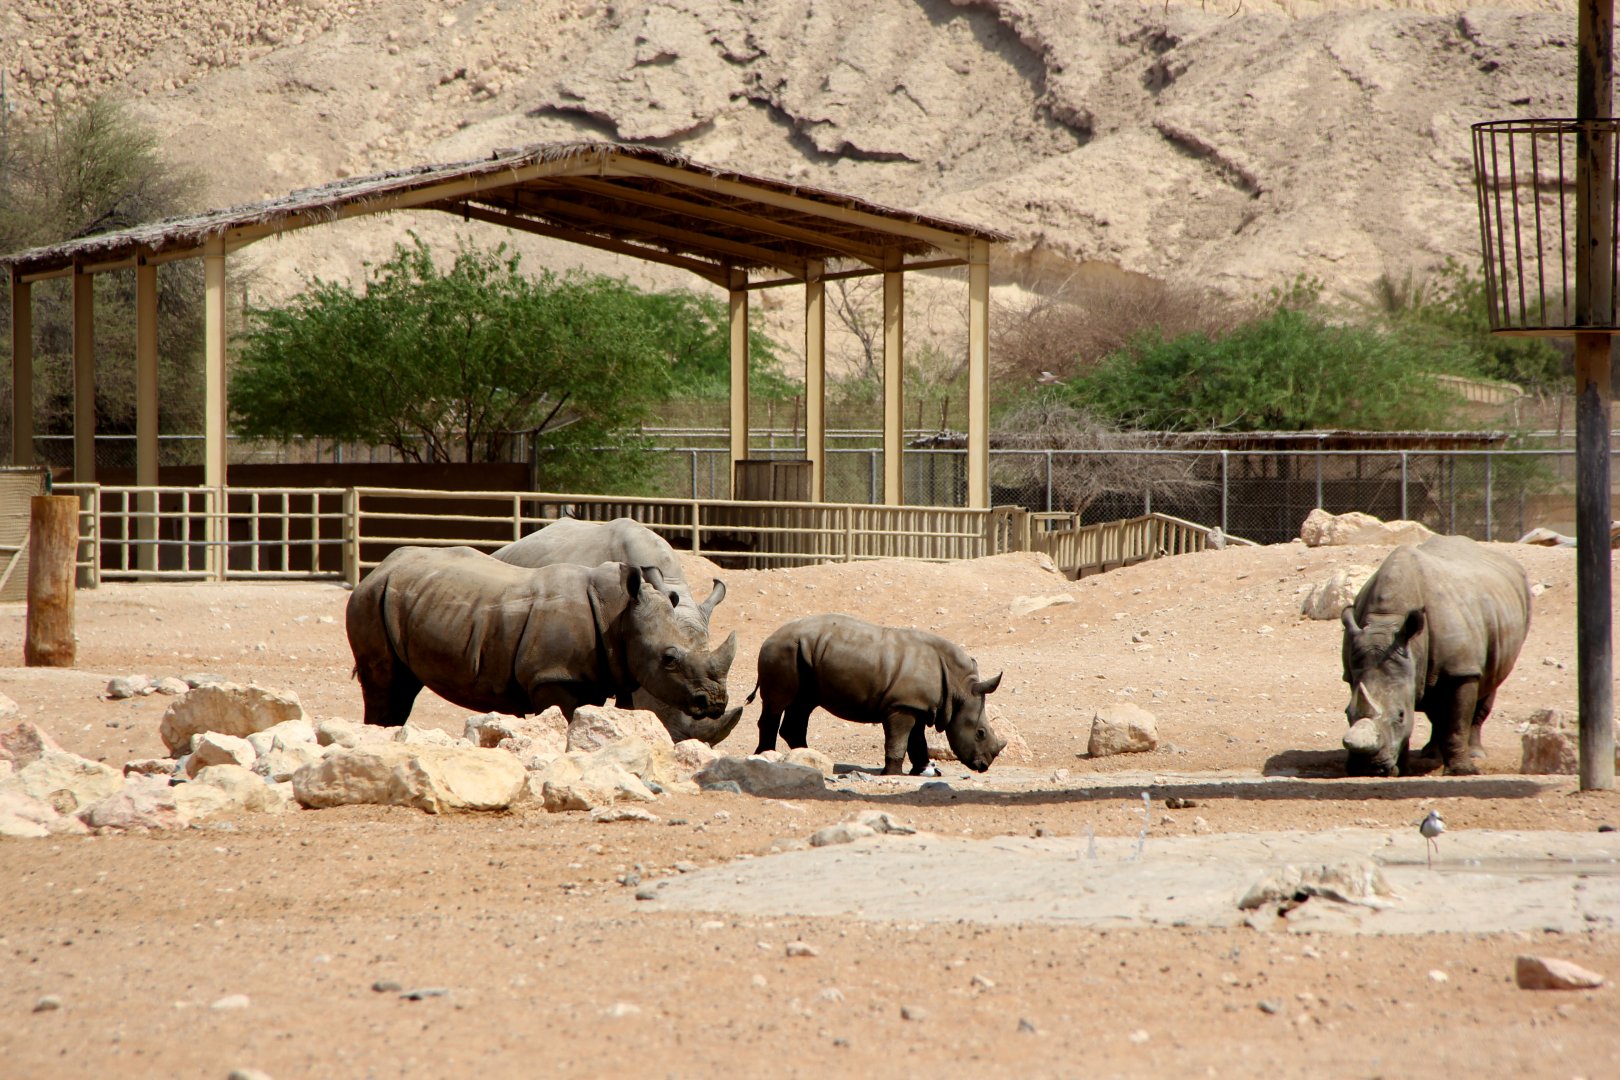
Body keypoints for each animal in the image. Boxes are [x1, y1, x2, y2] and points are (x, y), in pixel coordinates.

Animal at [346, 546, 736, 730]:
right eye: (669, 659)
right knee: (385, 682)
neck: (619, 614)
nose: (714, 703)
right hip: (370, 598)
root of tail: (379, 568)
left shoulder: (598, 674)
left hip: (403, 596)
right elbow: (566, 720)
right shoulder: (552, 676)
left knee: (404, 685)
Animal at [752, 613, 1006, 775]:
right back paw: (766, 755)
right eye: (980, 733)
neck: (959, 688)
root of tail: (768, 637)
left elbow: (917, 741)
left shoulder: (917, 706)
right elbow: (898, 740)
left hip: (803, 655)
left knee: (803, 704)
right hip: (783, 649)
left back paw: (809, 757)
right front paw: (893, 773)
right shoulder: (902, 706)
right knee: (777, 704)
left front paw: (925, 771)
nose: (984, 766)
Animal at [1340, 534, 1530, 777]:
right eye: (1346, 713)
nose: (1367, 768)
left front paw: (1462, 771)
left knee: (1489, 683)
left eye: (1400, 715)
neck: (1386, 621)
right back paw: (1431, 754)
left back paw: (1475, 754)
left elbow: (1457, 723)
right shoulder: (1357, 671)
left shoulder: (1461, 670)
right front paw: (1403, 769)